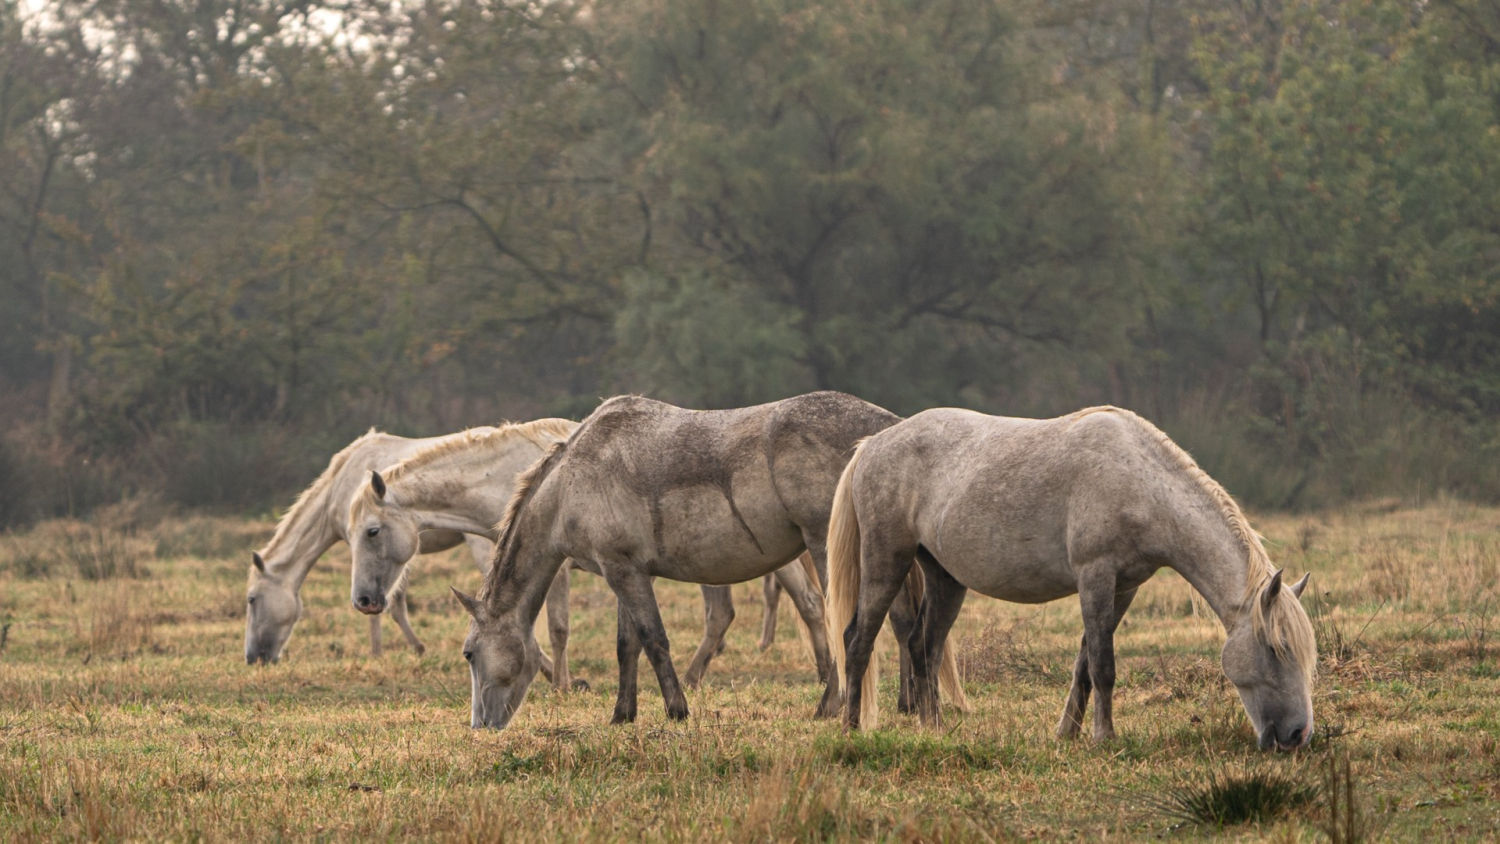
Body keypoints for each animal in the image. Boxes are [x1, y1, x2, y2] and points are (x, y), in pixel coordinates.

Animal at [245, 428, 494, 664]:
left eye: (252, 599)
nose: (251, 658)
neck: (337, 489)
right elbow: (396, 602)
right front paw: (418, 649)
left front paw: (378, 653)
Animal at [346, 419, 820, 691]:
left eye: (372, 531)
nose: (363, 601)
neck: (501, 473)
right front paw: (558, 678)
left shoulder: (556, 569)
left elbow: (557, 628)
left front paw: (561, 684)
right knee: (721, 616)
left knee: (805, 603)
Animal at [454, 391, 967, 730]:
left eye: (469, 653)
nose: (481, 725)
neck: (573, 480)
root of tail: (886, 432)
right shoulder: (624, 572)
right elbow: (627, 646)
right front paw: (623, 715)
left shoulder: (625, 573)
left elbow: (654, 639)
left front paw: (677, 710)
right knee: (902, 622)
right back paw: (907, 705)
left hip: (830, 551)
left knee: (850, 626)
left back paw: (832, 706)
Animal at [825, 405, 1317, 752]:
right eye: (1276, 649)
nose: (1297, 734)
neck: (1139, 483)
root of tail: (872, 445)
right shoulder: (1095, 576)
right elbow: (1102, 665)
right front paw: (1104, 737)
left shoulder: (1123, 588)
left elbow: (1083, 665)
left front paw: (1067, 733)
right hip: (886, 560)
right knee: (858, 640)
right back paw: (851, 729)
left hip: (945, 579)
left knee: (923, 647)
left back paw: (935, 730)